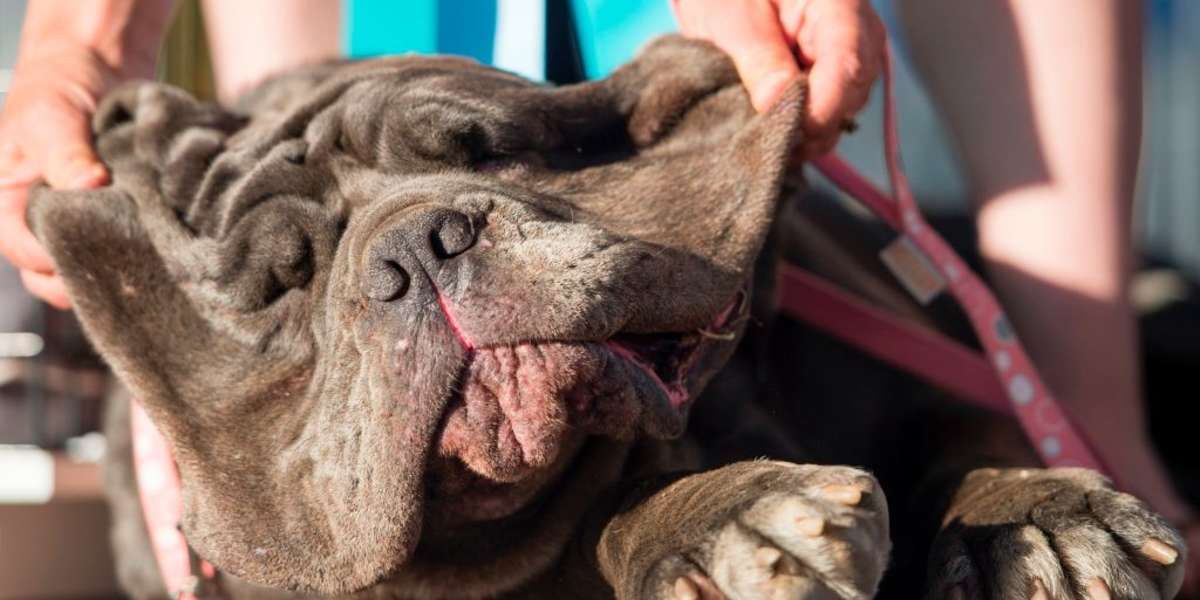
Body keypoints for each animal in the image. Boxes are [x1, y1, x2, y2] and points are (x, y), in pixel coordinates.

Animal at [30, 35, 1190, 597]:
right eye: (281, 280)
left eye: (488, 147)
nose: (415, 248)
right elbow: (592, 526)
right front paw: (722, 524)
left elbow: (978, 428)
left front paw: (1031, 522)